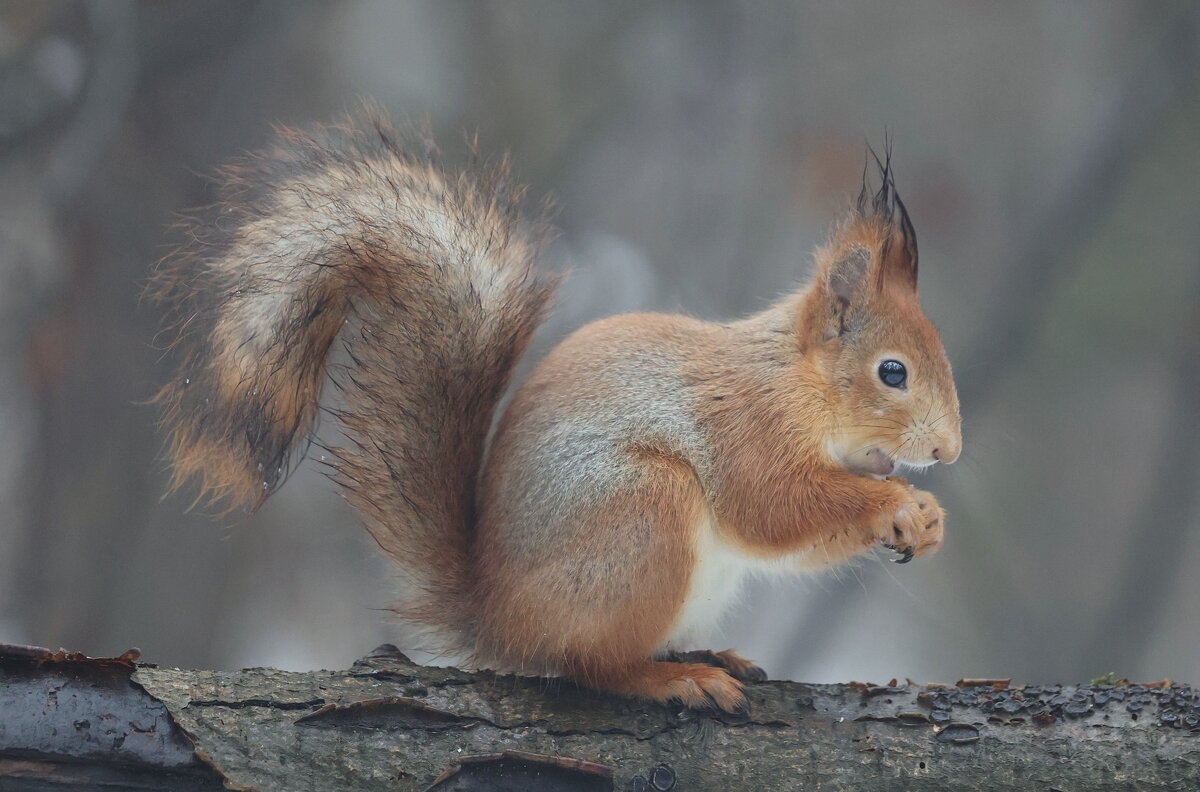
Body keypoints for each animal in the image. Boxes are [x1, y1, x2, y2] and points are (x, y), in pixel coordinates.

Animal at [154, 109, 964, 710]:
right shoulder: (746, 428)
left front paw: (927, 520)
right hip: (640, 515)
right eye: (892, 372)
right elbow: (774, 508)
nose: (948, 452)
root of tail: (498, 616)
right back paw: (674, 678)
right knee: (589, 665)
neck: (800, 387)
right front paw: (895, 503)